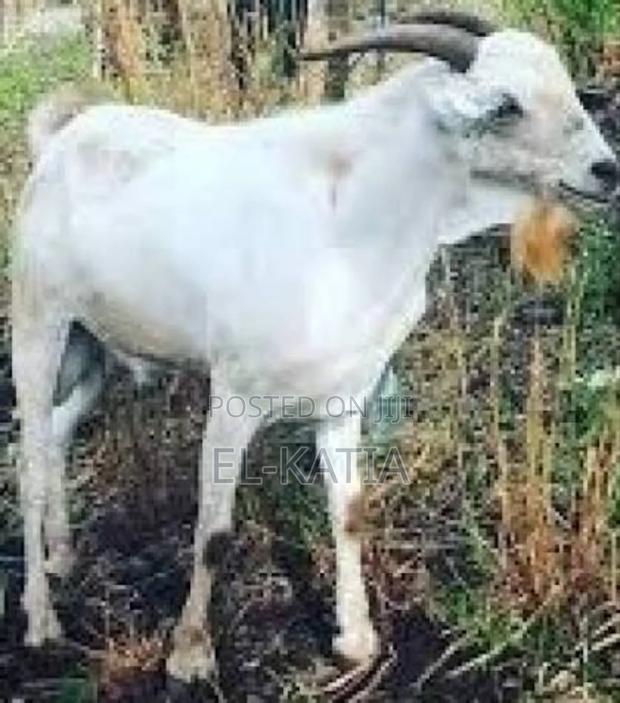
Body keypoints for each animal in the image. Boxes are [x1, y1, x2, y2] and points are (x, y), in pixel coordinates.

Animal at [11, 11, 618, 682]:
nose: (606, 170)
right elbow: (214, 530)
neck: (346, 221)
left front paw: (356, 639)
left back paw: (63, 556)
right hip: (38, 324)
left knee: (57, 435)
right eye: (507, 103)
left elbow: (349, 514)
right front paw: (190, 653)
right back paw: (40, 620)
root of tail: (60, 141)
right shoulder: (233, 398)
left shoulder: (345, 400)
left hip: (93, 350)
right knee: (29, 460)